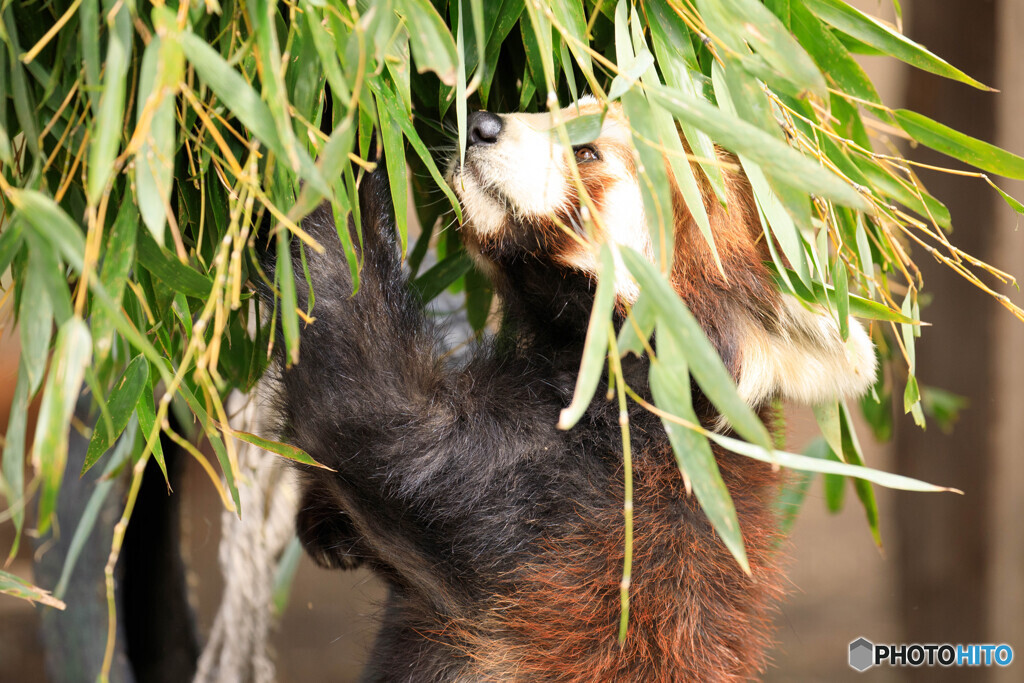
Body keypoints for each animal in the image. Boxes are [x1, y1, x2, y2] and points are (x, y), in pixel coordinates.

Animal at [260, 98, 876, 679]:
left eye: (587, 152)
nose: (480, 122)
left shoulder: (567, 500)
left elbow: (366, 410)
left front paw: (332, 125)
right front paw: (323, 525)